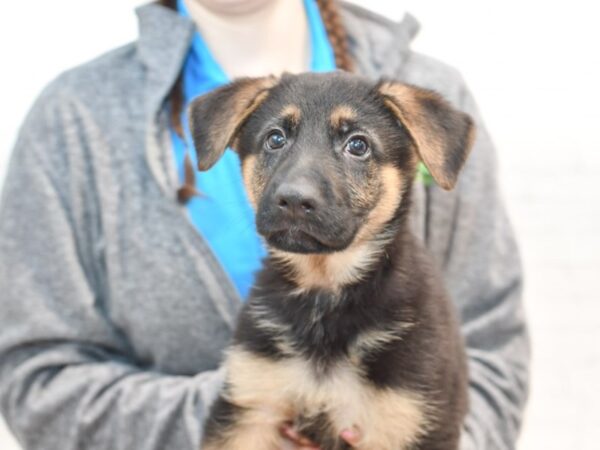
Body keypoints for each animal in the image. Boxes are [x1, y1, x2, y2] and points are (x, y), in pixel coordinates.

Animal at [190, 72, 476, 448]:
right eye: (275, 138)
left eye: (358, 145)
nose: (295, 200)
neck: (324, 294)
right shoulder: (249, 407)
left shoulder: (408, 420)